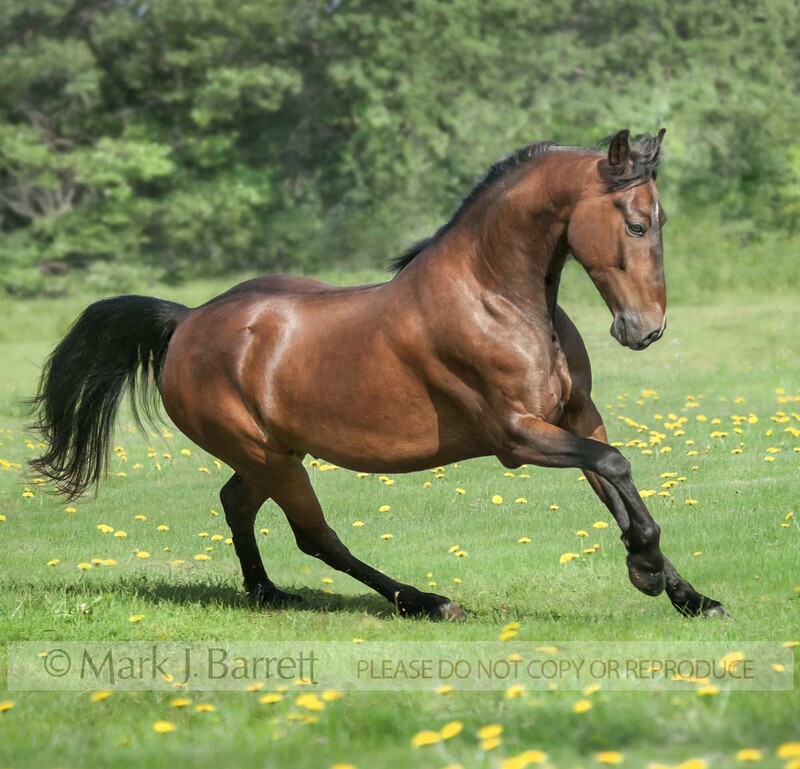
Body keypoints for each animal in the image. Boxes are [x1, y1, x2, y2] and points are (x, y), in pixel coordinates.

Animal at [30, 128, 725, 620]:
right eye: (635, 223)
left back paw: (268, 594)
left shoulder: (577, 417)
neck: (496, 299)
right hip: (267, 456)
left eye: (662, 223)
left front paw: (688, 594)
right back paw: (426, 601)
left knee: (237, 505)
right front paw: (645, 570)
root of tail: (187, 322)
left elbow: (614, 480)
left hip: (272, 453)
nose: (645, 329)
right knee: (316, 536)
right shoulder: (516, 435)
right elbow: (615, 466)